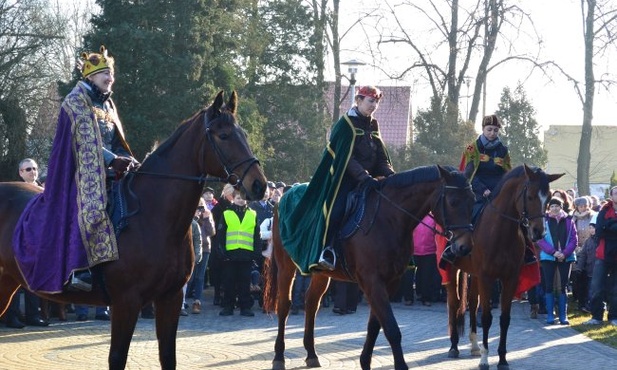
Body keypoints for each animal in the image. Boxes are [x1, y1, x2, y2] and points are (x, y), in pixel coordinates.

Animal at [0, 90, 264, 370]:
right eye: (223, 135)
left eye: (243, 134)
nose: (259, 185)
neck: (154, 217)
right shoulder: (126, 302)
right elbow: (117, 356)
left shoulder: (169, 298)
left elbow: (168, 356)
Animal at [262, 165, 474, 370]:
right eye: (453, 201)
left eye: (472, 200)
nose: (464, 247)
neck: (389, 218)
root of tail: (282, 200)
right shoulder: (372, 281)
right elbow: (391, 328)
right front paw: (400, 364)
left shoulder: (390, 281)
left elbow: (375, 325)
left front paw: (365, 361)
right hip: (285, 266)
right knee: (284, 305)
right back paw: (279, 357)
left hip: (321, 273)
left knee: (312, 302)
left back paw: (312, 354)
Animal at [442, 165, 564, 370]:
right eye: (530, 196)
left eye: (548, 199)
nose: (539, 232)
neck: (500, 232)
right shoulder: (487, 277)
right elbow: (486, 317)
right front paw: (485, 359)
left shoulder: (509, 279)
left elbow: (504, 319)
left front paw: (502, 359)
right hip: (453, 271)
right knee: (454, 304)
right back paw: (454, 347)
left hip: (474, 275)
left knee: (472, 303)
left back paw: (474, 345)